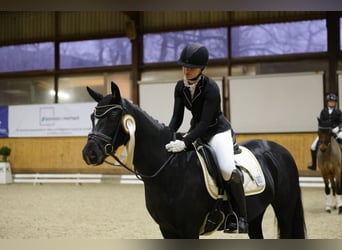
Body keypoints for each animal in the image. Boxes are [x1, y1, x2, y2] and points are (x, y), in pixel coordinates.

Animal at [83, 81, 308, 238]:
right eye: (93, 117)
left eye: (113, 117)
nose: (89, 153)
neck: (169, 169)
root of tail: (278, 149)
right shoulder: (167, 229)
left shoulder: (189, 228)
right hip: (256, 214)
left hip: (285, 210)